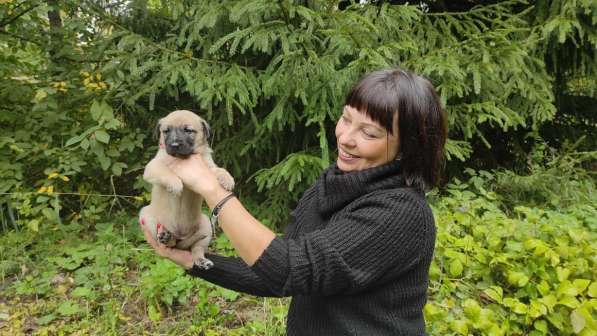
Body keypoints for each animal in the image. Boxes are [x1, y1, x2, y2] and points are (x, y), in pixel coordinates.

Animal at [139, 110, 234, 270]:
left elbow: (219, 169)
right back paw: (166, 236)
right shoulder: (153, 166)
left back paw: (201, 260)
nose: (174, 144)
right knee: (170, 244)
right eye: (166, 131)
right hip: (147, 216)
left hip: (206, 226)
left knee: (196, 249)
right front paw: (176, 185)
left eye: (188, 130)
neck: (181, 158)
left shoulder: (208, 166)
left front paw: (228, 180)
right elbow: (165, 171)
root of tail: (181, 236)